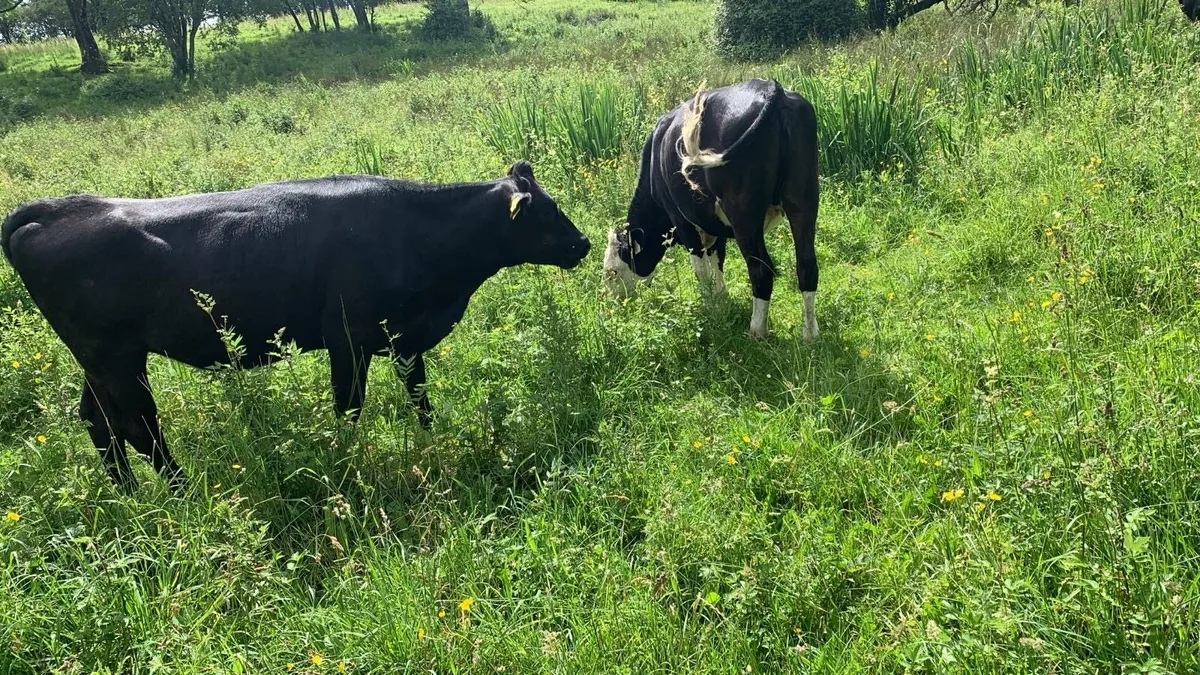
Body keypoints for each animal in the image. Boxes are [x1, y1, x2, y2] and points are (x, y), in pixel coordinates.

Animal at [0, 160, 590, 493]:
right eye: (544, 212)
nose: (582, 244)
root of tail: (54, 209)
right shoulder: (348, 338)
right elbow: (349, 407)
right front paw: (347, 462)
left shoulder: (403, 337)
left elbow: (420, 396)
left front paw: (433, 443)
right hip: (115, 356)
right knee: (138, 425)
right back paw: (182, 493)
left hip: (102, 360)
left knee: (100, 422)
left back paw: (130, 495)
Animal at [602, 78, 820, 341]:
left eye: (612, 272)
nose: (612, 303)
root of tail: (771, 89)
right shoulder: (714, 223)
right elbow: (718, 257)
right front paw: (721, 297)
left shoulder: (682, 220)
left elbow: (700, 268)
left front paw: (709, 306)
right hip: (803, 200)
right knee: (807, 264)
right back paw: (810, 334)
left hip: (743, 213)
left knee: (760, 269)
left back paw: (757, 331)